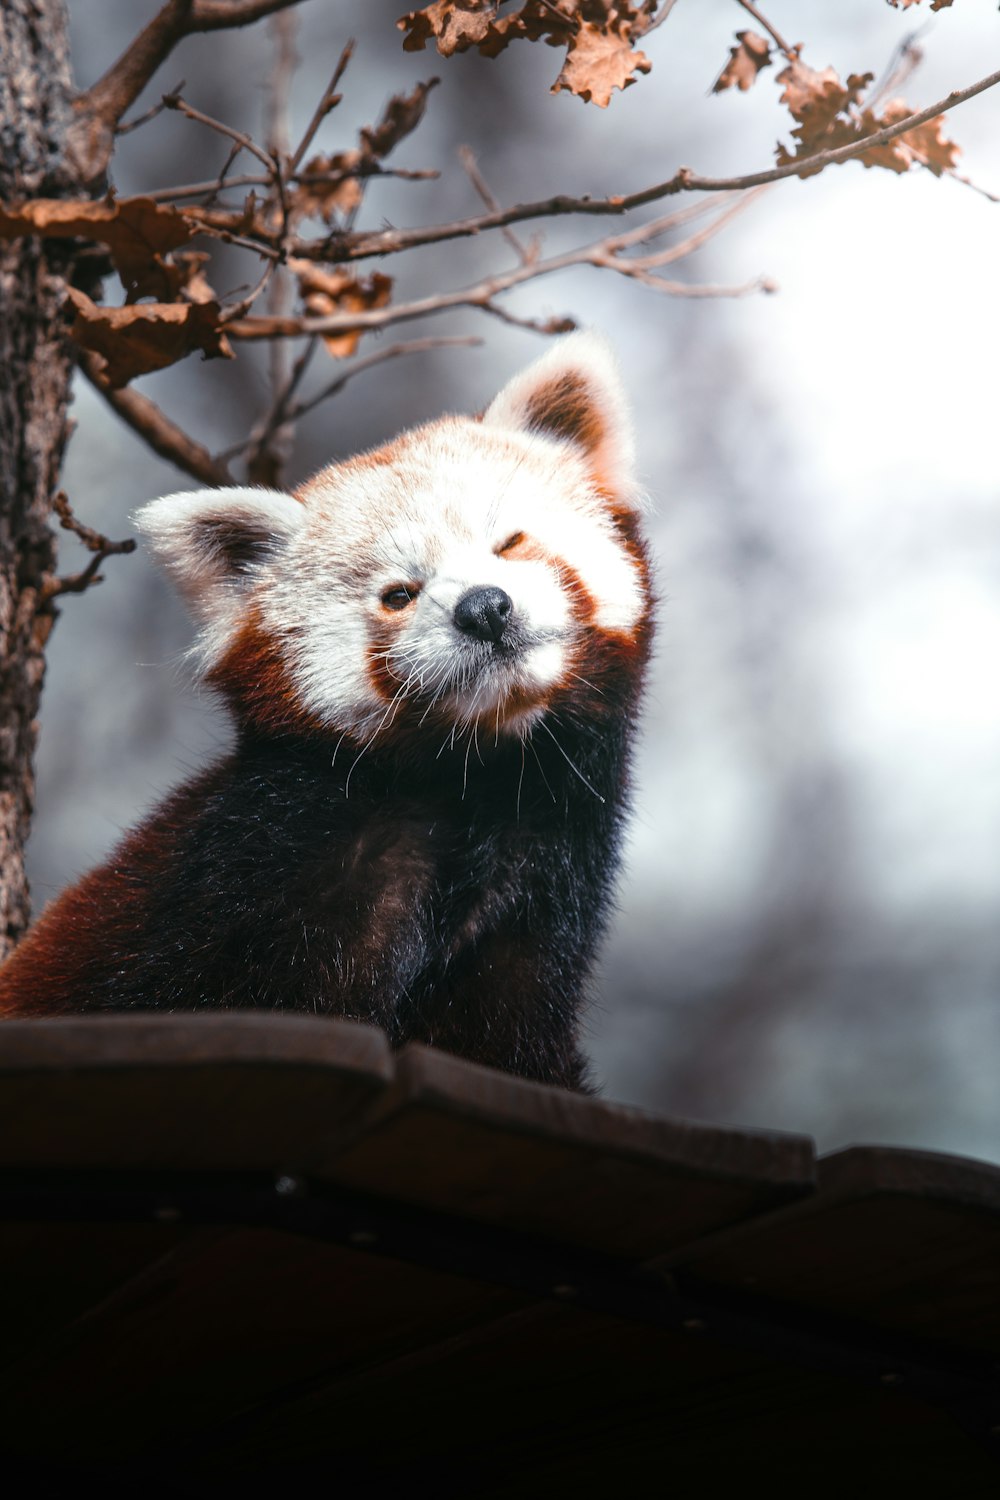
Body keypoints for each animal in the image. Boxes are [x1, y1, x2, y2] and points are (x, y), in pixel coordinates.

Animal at [0, 334, 653, 1092]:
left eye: (511, 544)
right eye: (399, 594)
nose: (485, 609)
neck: (473, 781)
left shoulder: (534, 905)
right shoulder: (235, 888)